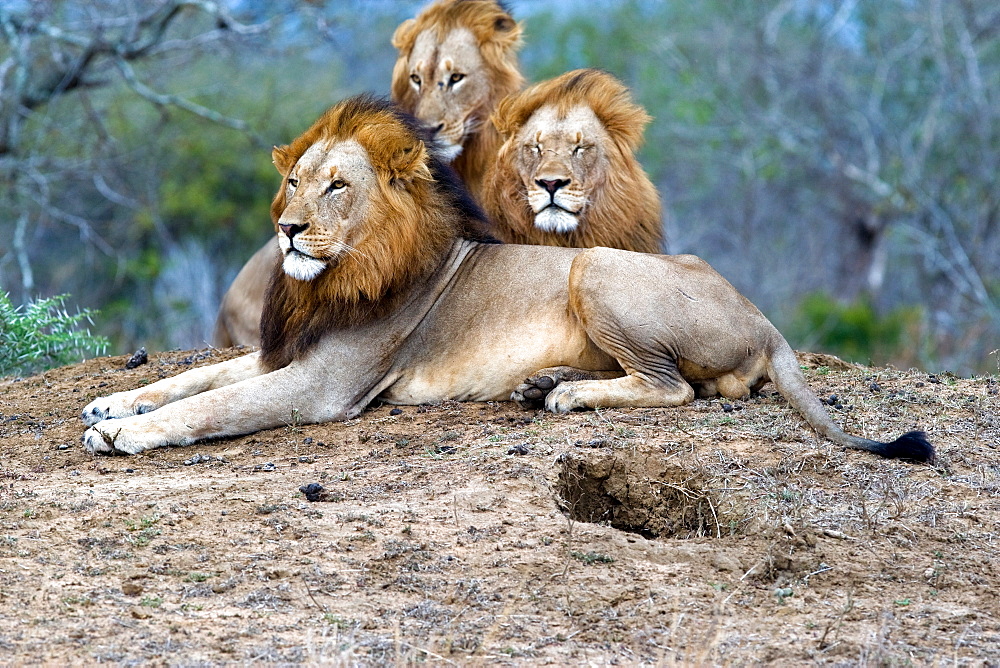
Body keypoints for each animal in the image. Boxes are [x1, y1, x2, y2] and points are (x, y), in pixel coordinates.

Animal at [82, 95, 932, 464]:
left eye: (336, 187)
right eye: (293, 182)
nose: (288, 230)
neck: (335, 275)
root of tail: (763, 320)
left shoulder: (325, 384)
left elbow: (215, 405)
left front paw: (123, 433)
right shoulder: (281, 352)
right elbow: (193, 379)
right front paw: (113, 402)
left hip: (596, 266)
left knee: (676, 389)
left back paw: (563, 395)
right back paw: (544, 382)